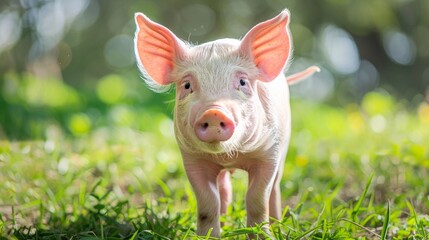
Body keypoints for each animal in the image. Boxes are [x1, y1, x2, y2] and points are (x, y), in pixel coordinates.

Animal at [134, 8, 318, 237]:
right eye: (187, 85)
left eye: (242, 82)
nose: (213, 112)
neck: (230, 155)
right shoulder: (192, 158)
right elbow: (207, 202)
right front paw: (207, 237)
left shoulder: (269, 153)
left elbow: (257, 198)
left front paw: (262, 235)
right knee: (223, 185)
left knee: (275, 187)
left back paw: (278, 223)